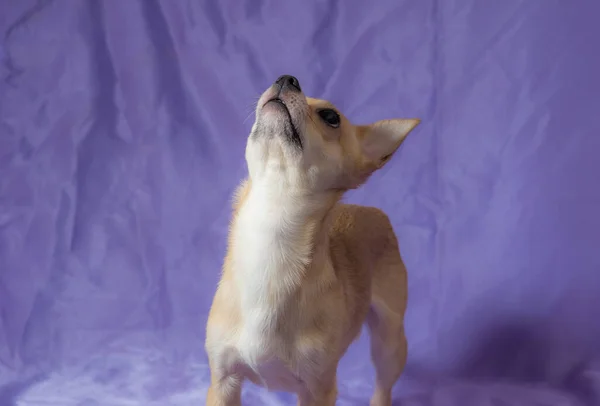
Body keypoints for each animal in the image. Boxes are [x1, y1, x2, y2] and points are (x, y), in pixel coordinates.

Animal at [204, 74, 420, 404]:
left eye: (331, 117)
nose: (287, 78)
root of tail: (371, 210)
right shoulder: (223, 381)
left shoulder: (318, 389)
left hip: (390, 340)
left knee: (384, 384)